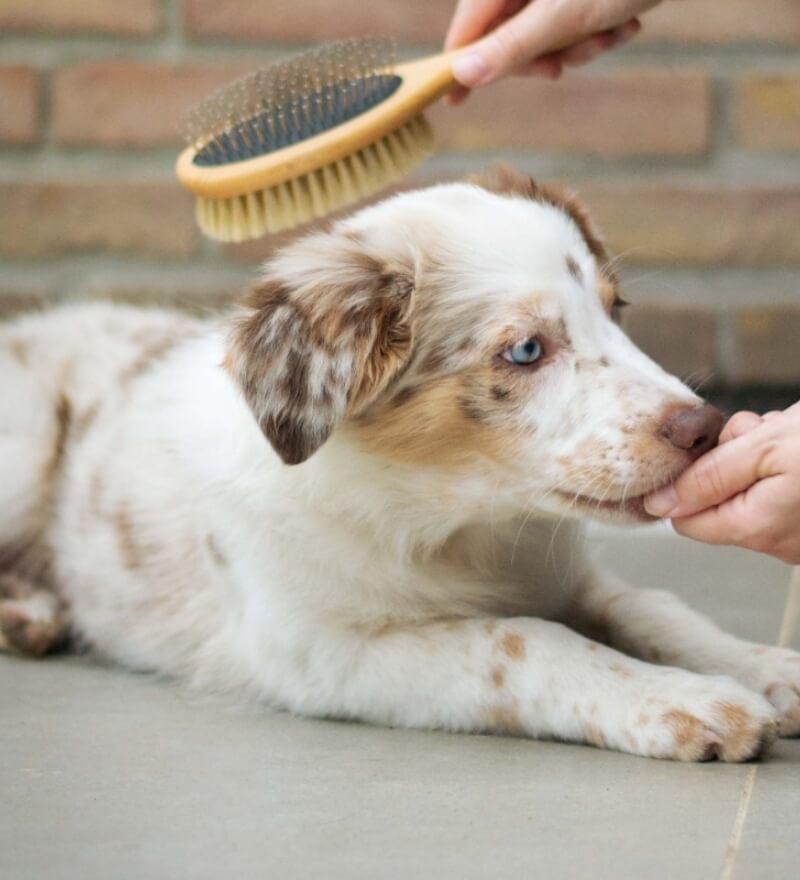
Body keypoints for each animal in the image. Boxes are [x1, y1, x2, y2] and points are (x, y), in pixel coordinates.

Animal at [1, 168, 800, 760]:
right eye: (526, 349)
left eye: (615, 309)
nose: (706, 428)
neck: (451, 525)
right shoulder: (320, 651)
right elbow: (523, 642)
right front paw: (682, 701)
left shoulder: (566, 578)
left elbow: (652, 607)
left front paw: (768, 668)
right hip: (26, 444)